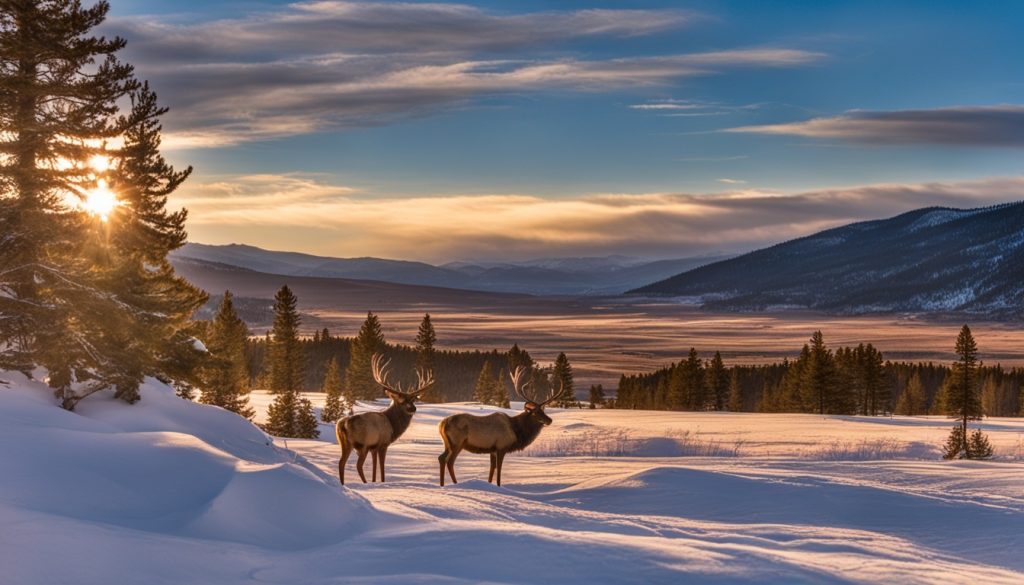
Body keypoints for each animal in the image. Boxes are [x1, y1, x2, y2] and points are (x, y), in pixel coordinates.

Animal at [335, 354, 432, 487]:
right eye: (402, 401)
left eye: (413, 400)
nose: (413, 408)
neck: (393, 426)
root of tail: (342, 424)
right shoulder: (383, 444)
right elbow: (381, 468)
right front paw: (382, 482)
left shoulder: (373, 448)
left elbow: (374, 467)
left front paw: (374, 481)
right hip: (362, 444)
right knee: (358, 465)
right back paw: (363, 483)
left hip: (345, 443)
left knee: (341, 462)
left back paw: (343, 484)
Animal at [436, 368, 569, 487]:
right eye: (535, 412)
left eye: (543, 411)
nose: (549, 420)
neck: (517, 431)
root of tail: (442, 424)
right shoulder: (502, 446)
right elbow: (499, 468)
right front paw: (499, 486)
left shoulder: (492, 449)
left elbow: (492, 469)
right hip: (457, 443)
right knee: (449, 461)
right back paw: (455, 483)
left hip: (447, 444)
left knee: (441, 458)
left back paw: (442, 485)